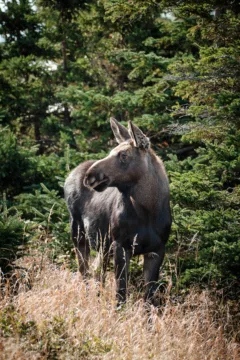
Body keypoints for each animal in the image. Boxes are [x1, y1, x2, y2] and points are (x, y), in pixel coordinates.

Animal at [64, 118, 171, 304]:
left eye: (124, 155)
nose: (90, 176)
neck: (148, 212)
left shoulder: (157, 249)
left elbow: (149, 296)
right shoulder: (120, 244)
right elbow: (121, 291)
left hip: (102, 244)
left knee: (97, 271)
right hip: (78, 232)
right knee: (84, 272)